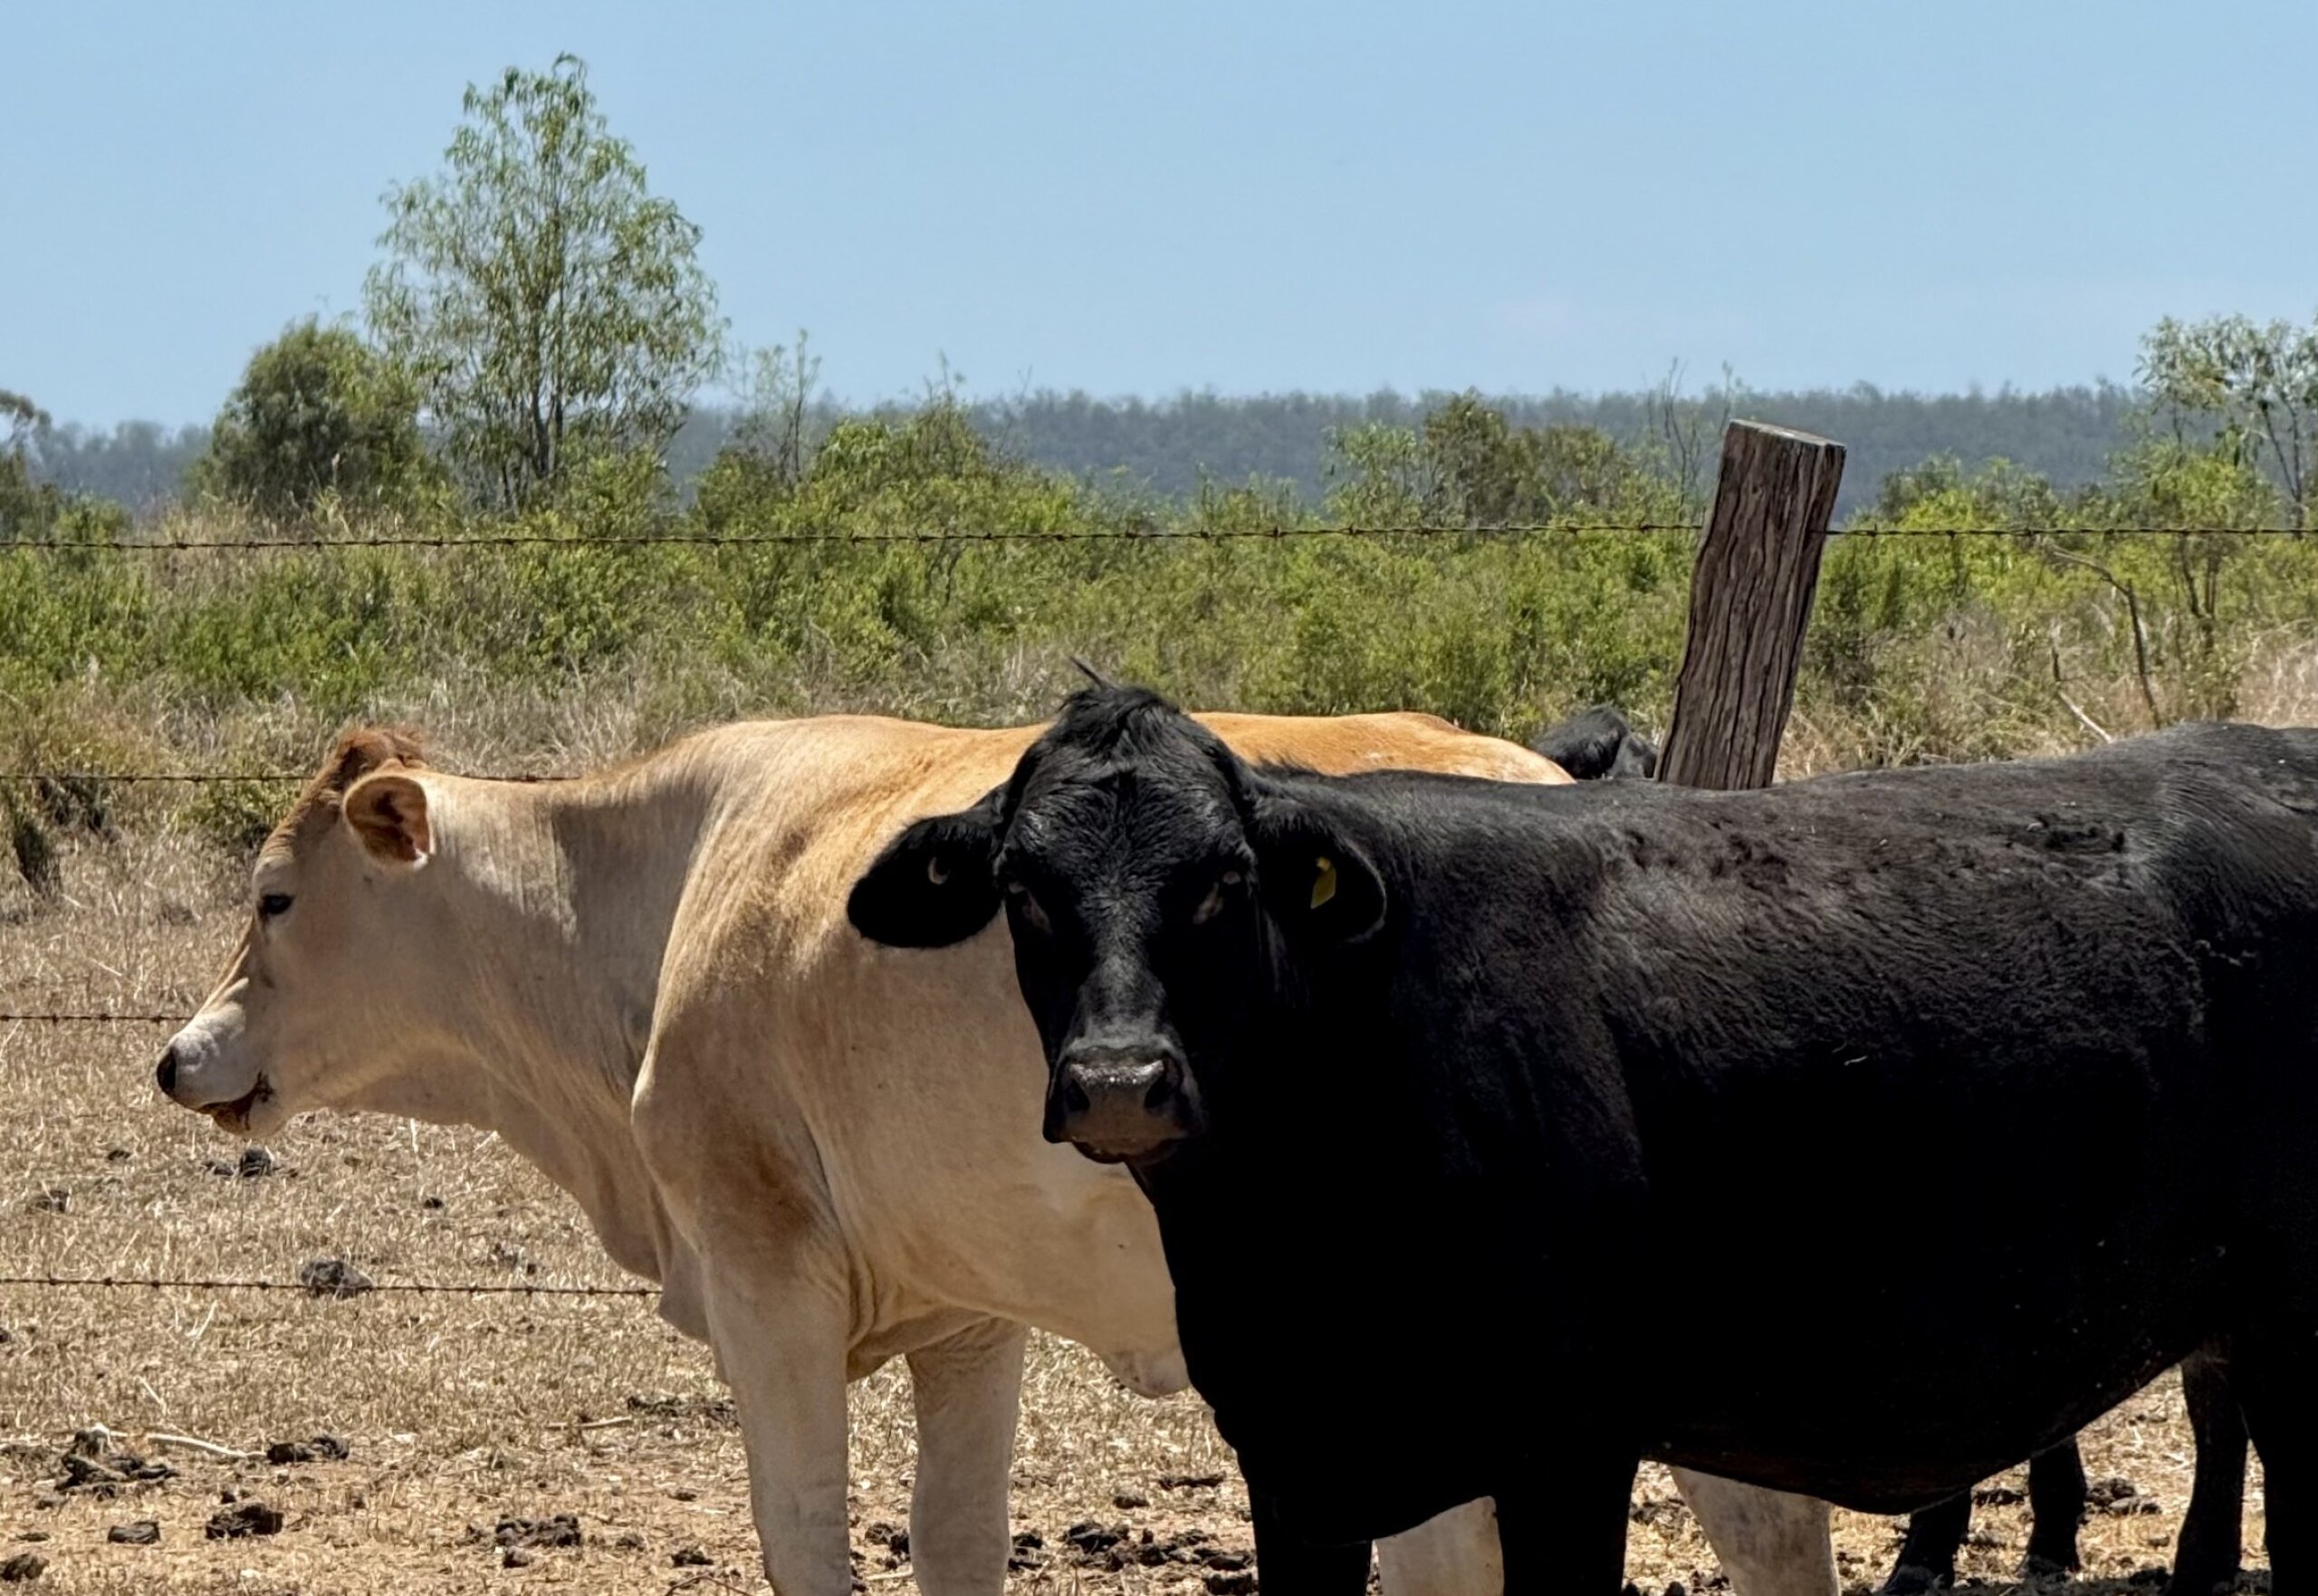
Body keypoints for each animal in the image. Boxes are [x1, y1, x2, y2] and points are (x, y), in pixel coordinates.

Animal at [153, 708, 1841, 1596]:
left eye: (278, 896)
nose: (177, 1055)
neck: (666, 892)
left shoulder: (767, 1285)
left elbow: (809, 1539)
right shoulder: (967, 1313)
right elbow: (954, 1543)